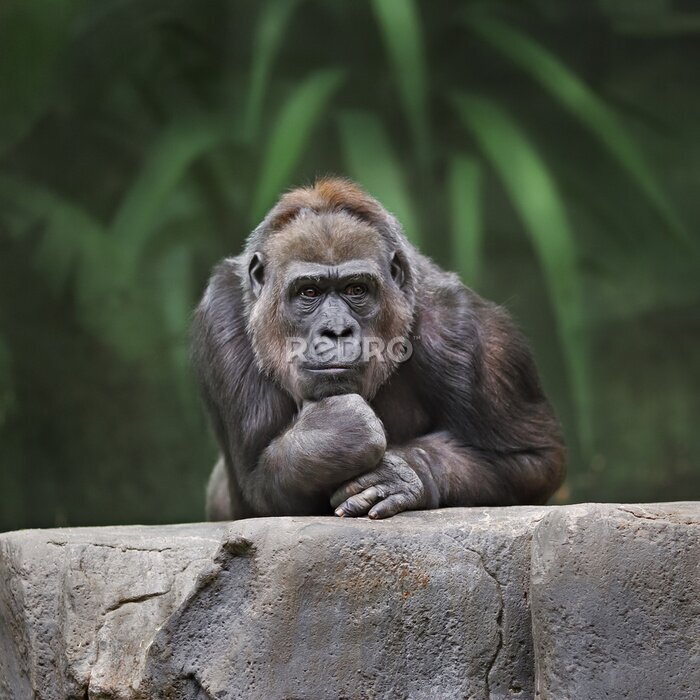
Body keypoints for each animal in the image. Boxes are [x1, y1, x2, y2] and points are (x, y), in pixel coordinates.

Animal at [192, 178, 565, 520]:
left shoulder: (467, 331)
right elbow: (257, 487)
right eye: (309, 292)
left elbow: (532, 460)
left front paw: (408, 473)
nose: (336, 331)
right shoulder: (220, 311)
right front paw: (334, 432)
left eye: (356, 289)